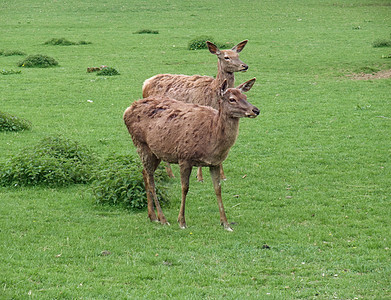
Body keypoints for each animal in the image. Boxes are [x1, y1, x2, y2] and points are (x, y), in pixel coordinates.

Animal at [125, 78, 260, 231]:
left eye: (245, 97)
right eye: (232, 99)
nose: (256, 110)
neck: (212, 138)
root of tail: (127, 109)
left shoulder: (215, 163)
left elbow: (218, 189)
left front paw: (225, 223)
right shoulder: (184, 157)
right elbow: (185, 188)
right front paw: (182, 221)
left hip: (156, 152)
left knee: (144, 174)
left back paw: (152, 216)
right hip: (141, 144)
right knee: (152, 181)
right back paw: (163, 218)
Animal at [142, 39, 250, 180]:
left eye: (238, 55)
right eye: (226, 57)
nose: (245, 66)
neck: (213, 93)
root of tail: (145, 83)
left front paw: (222, 175)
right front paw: (200, 177)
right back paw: (170, 174)